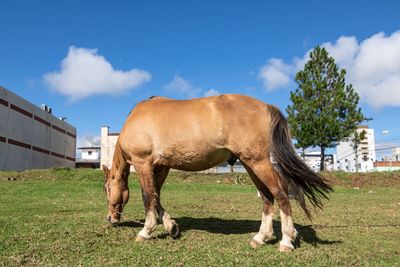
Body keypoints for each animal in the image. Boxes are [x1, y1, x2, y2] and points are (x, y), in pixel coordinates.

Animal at [102, 94, 332, 253]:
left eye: (106, 189)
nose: (110, 219)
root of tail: (266, 106)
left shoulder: (143, 163)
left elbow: (148, 197)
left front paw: (146, 231)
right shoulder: (162, 167)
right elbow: (156, 197)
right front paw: (171, 226)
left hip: (258, 162)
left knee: (281, 194)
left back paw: (285, 241)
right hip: (250, 164)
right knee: (267, 198)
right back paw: (261, 237)